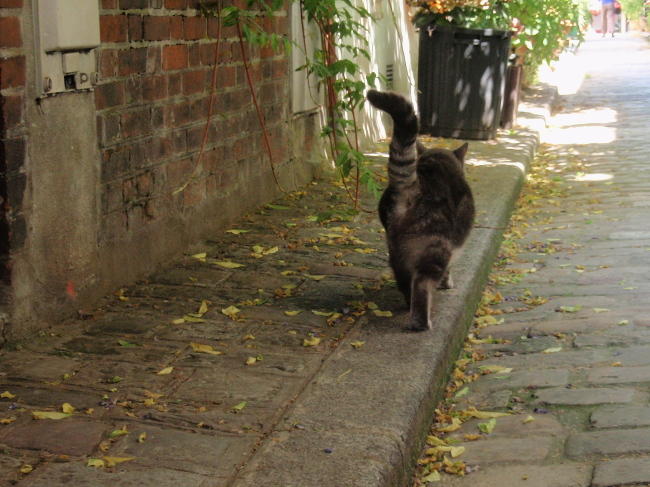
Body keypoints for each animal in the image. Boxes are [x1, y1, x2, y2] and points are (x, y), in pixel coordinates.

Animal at [367, 90, 475, 331]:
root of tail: (413, 186)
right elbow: (449, 269)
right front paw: (447, 283)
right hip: (436, 248)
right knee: (422, 285)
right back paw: (420, 322)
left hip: (396, 250)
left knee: (405, 280)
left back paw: (408, 305)